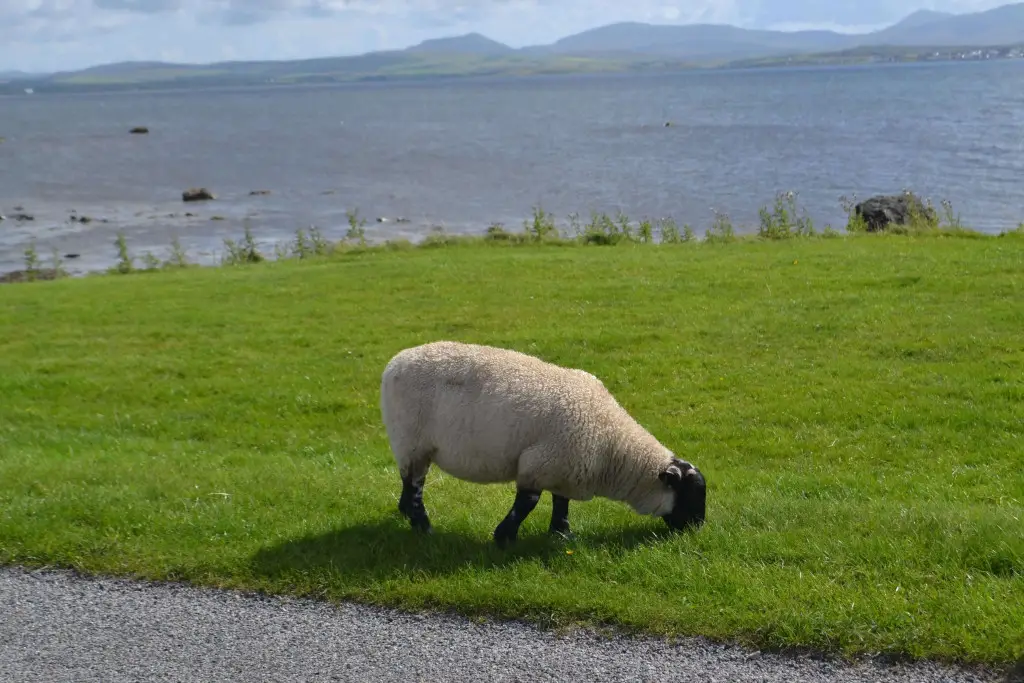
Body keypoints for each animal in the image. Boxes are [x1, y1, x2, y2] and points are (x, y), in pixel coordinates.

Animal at [380, 342, 708, 548]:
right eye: (691, 495)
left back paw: (407, 516)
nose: (698, 530)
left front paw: (562, 534)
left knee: (408, 481)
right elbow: (527, 503)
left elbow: (561, 502)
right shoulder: (538, 465)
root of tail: (395, 362)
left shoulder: (565, 467)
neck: (613, 446)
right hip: (411, 440)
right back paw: (424, 527)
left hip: (411, 446)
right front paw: (505, 538)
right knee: (415, 485)